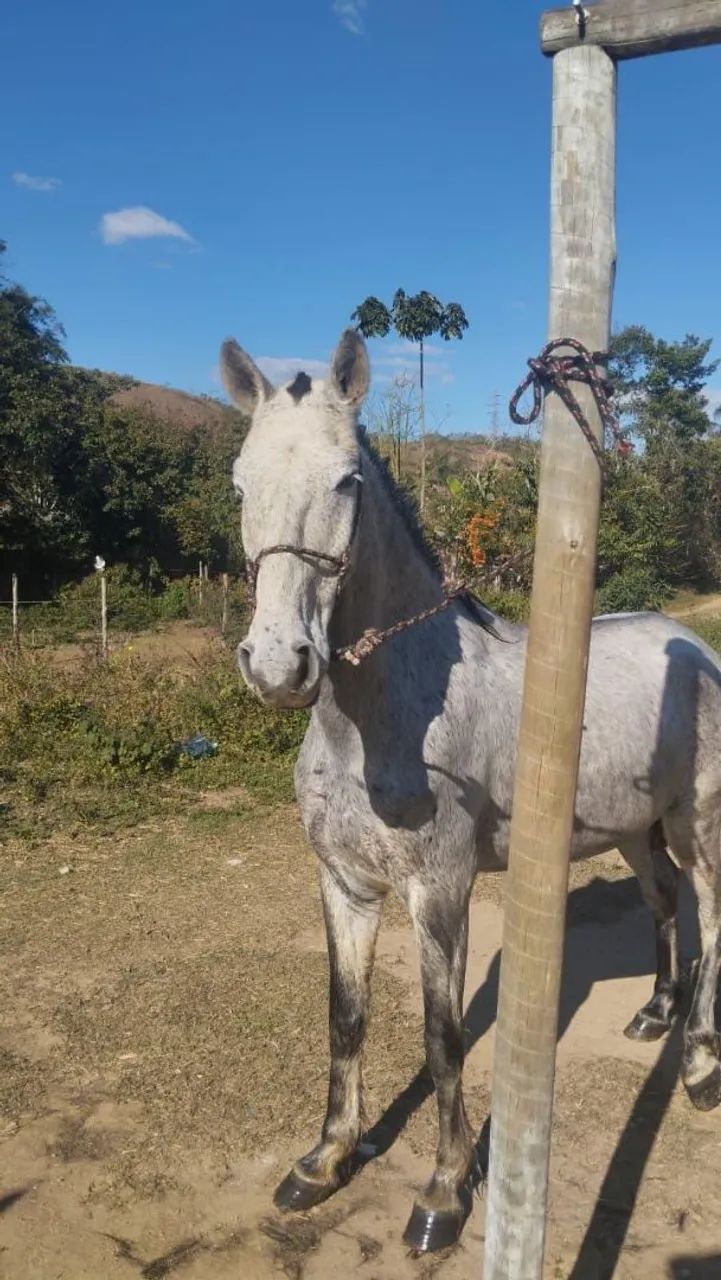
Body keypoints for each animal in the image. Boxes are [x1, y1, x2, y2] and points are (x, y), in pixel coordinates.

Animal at [220, 327, 721, 1253]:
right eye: (240, 481)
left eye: (345, 481)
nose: (278, 665)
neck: (379, 724)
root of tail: (691, 645)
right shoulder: (344, 884)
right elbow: (345, 1017)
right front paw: (324, 1160)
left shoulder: (437, 891)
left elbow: (442, 1036)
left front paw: (444, 1194)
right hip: (633, 831)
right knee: (666, 901)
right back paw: (654, 1014)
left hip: (694, 820)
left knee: (712, 909)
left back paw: (701, 1061)